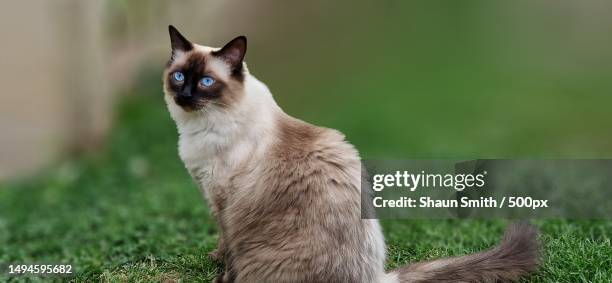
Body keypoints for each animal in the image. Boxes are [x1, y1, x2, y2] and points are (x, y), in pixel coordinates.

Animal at [164, 25, 540, 282]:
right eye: (179, 76)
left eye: (206, 82)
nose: (184, 95)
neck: (199, 127)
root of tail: (375, 277)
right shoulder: (212, 197)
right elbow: (221, 244)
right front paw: (213, 259)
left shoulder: (223, 201)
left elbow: (230, 249)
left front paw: (221, 274)